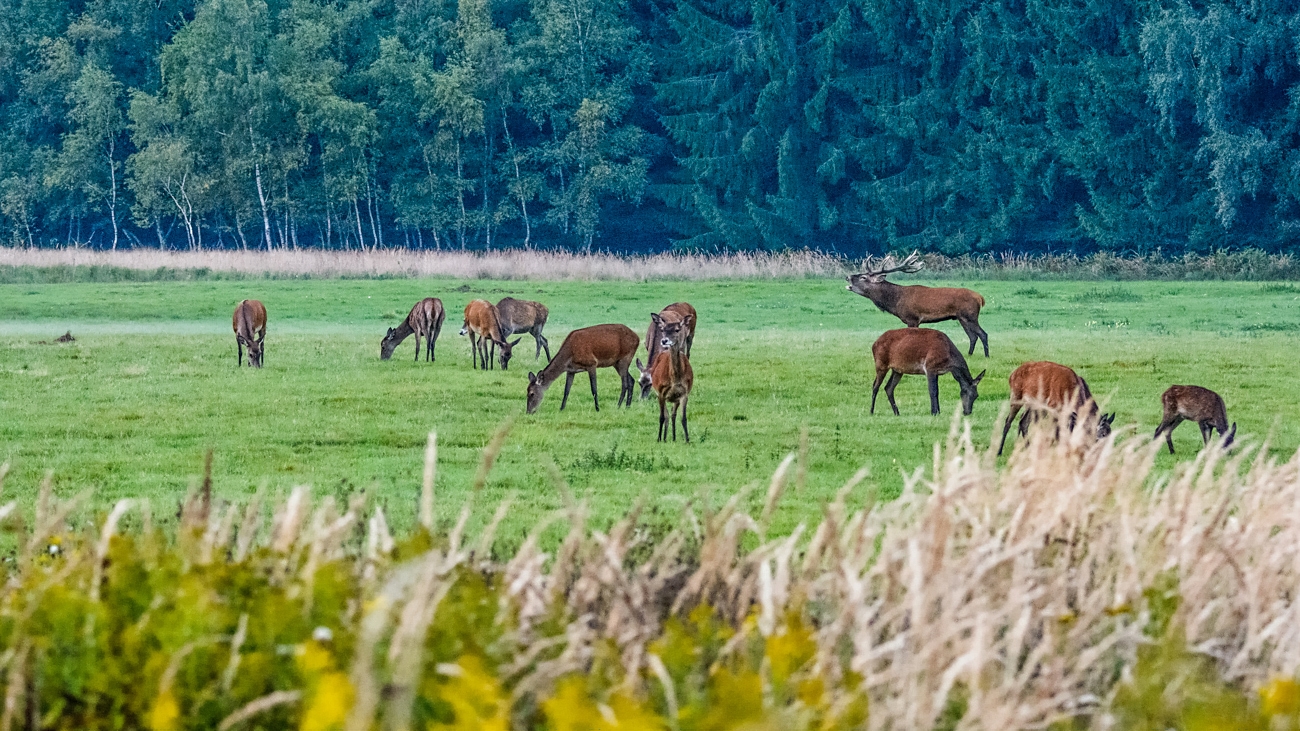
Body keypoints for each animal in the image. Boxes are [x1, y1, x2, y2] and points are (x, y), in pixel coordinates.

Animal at [842, 247, 982, 356]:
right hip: (962, 318)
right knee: (973, 336)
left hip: (970, 315)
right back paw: (970, 354)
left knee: (981, 334)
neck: (896, 301)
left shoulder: (912, 318)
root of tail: (980, 298)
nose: (847, 276)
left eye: (863, 277)